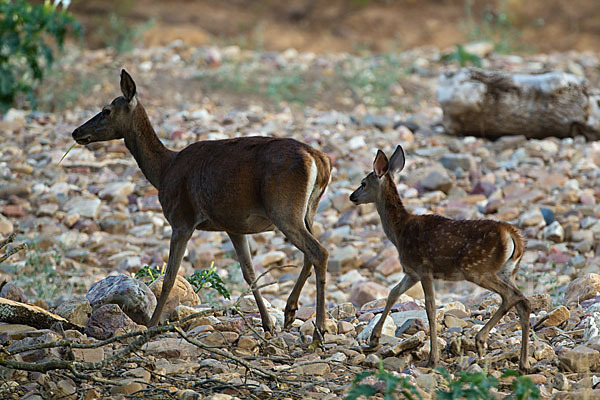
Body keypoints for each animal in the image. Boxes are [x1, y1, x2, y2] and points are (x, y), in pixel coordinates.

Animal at [72, 70, 332, 340]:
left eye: (106, 110)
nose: (76, 132)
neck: (163, 170)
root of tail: (319, 160)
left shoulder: (181, 219)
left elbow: (170, 277)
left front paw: (151, 325)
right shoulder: (233, 225)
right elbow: (249, 273)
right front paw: (267, 323)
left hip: (283, 209)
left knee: (318, 251)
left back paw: (319, 330)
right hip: (307, 212)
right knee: (310, 253)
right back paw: (291, 312)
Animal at [352, 145, 528, 370]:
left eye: (363, 183)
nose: (352, 196)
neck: (399, 232)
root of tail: (513, 235)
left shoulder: (424, 268)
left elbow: (430, 308)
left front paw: (433, 358)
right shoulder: (411, 272)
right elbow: (393, 293)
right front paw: (374, 339)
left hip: (477, 268)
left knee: (511, 296)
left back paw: (481, 341)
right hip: (508, 271)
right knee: (523, 301)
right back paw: (523, 363)